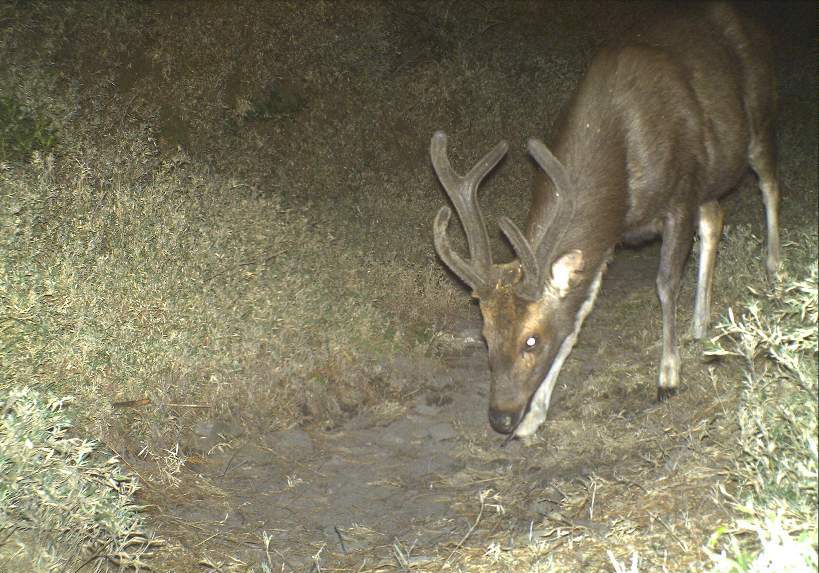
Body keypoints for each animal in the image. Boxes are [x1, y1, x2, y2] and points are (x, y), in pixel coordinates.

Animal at [430, 2, 780, 438]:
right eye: (485, 335)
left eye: (531, 340)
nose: (500, 417)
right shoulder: (608, 237)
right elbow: (576, 318)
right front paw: (535, 416)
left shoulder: (681, 194)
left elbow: (666, 284)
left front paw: (668, 377)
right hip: (712, 178)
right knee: (716, 215)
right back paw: (701, 325)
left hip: (760, 121)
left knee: (770, 186)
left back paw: (776, 272)